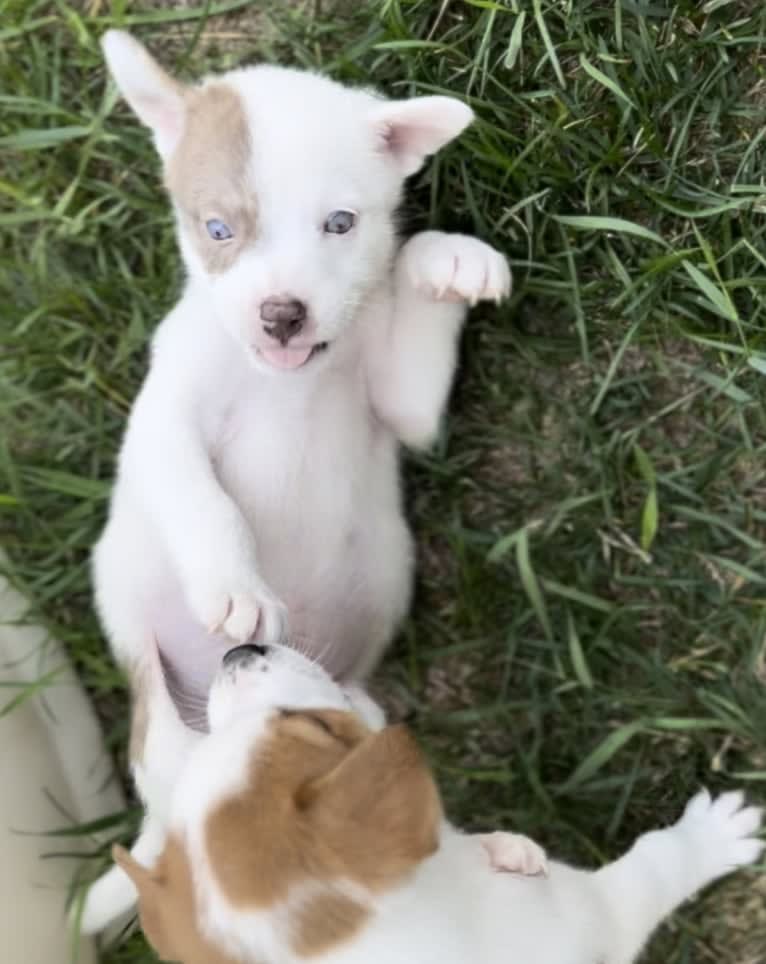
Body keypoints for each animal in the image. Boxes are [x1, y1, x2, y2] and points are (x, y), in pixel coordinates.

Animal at [82, 35, 510, 932]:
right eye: (218, 228)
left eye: (340, 224)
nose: (282, 314)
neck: (289, 376)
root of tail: (155, 812)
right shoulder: (161, 423)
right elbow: (202, 502)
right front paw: (235, 587)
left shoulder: (405, 407)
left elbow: (416, 287)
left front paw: (446, 258)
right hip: (181, 740)